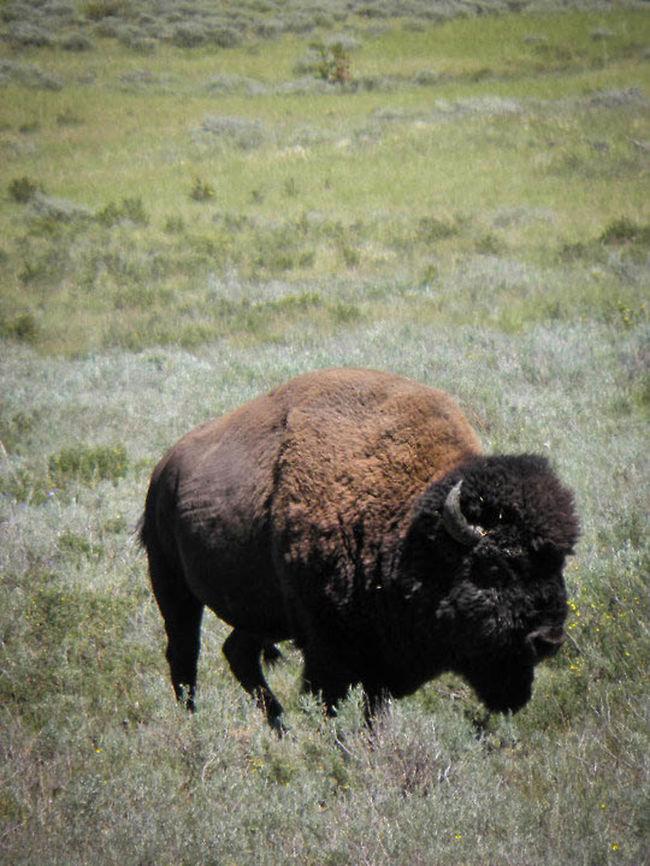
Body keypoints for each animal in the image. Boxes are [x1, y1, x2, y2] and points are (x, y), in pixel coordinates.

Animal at [139, 368, 578, 730]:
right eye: (495, 569)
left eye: (558, 564)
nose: (548, 640)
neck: (409, 532)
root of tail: (164, 468)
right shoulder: (326, 649)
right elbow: (329, 704)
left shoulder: (378, 661)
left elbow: (373, 715)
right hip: (171, 583)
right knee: (184, 652)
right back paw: (193, 724)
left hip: (261, 611)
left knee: (238, 652)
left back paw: (280, 727)